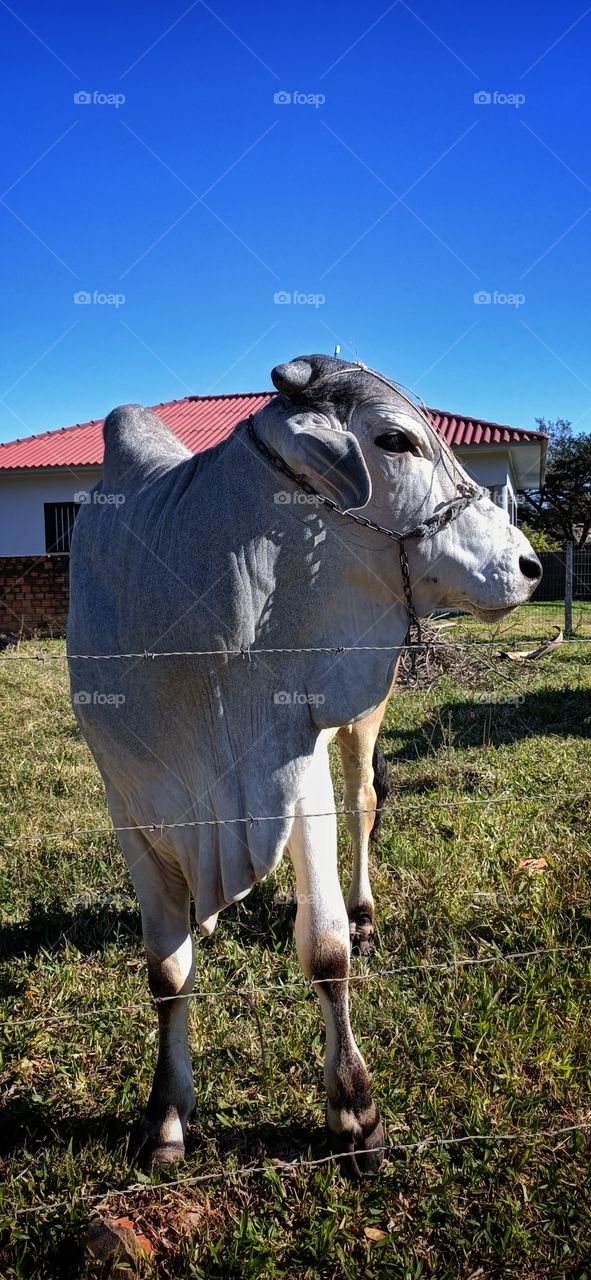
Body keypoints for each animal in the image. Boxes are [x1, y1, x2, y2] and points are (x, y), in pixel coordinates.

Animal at [68, 354, 542, 1177]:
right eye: (395, 440)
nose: (529, 563)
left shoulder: (295, 765)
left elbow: (322, 950)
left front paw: (355, 1114)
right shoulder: (131, 802)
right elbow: (166, 971)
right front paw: (165, 1119)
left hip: (359, 717)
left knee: (363, 805)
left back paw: (364, 914)